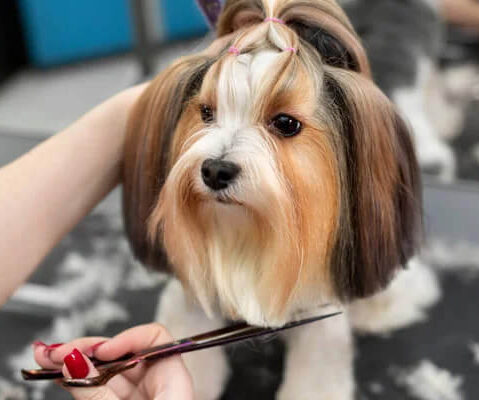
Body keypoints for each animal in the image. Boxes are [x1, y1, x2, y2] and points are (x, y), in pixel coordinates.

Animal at [121, 1, 432, 398]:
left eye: (285, 123)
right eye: (206, 112)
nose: (215, 170)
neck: (245, 234)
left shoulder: (318, 313)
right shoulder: (191, 298)